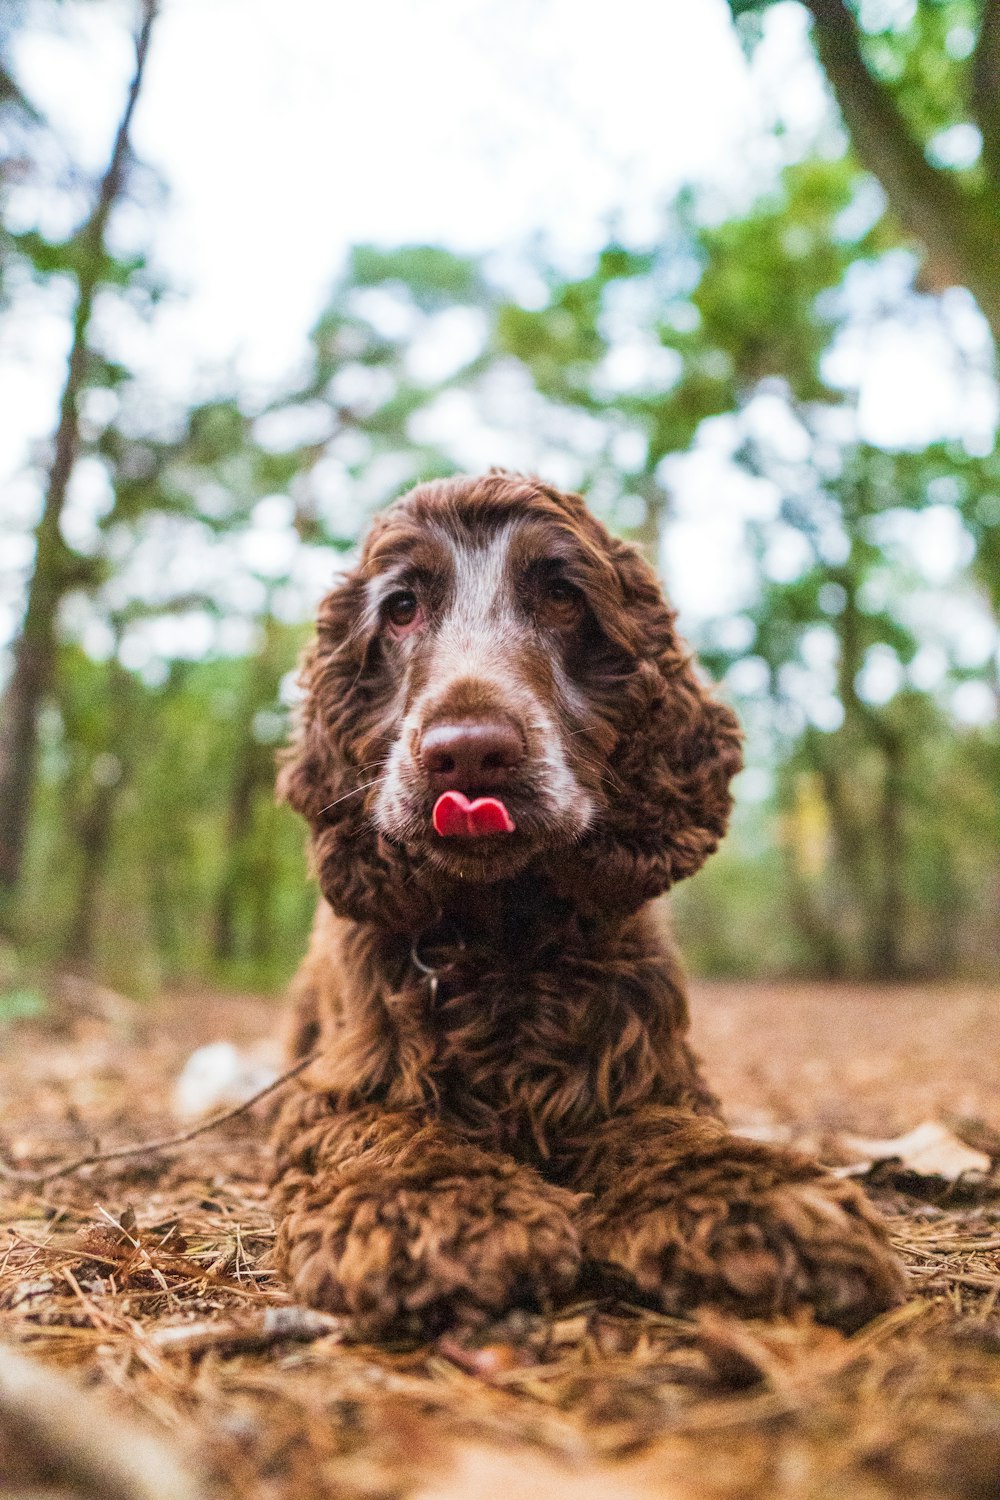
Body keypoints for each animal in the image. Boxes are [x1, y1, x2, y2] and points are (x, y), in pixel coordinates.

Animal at [269, 471, 905, 1338]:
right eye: (401, 608)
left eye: (564, 597)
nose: (469, 755)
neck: (504, 935)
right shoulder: (328, 1093)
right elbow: (388, 1127)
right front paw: (431, 1208)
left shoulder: (646, 1071)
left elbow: (671, 1131)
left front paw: (751, 1196)